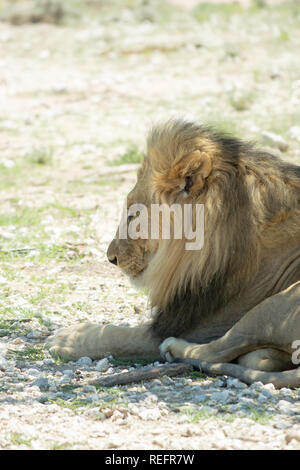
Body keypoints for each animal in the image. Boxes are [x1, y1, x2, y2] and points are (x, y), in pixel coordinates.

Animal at [47, 119, 300, 388]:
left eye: (133, 215)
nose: (110, 258)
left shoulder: (203, 326)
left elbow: (120, 335)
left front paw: (67, 339)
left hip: (274, 304)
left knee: (218, 349)